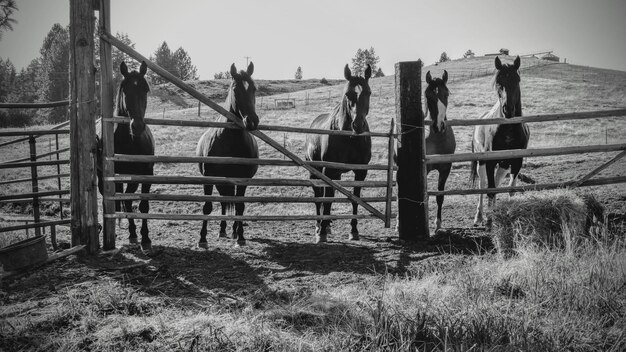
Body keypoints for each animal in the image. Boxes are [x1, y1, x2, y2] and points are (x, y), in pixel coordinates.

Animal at [95, 62, 154, 252]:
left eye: (146, 89)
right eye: (125, 90)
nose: (137, 126)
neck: (130, 141)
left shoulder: (146, 173)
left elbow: (143, 206)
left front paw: (145, 239)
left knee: (127, 201)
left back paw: (134, 235)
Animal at [195, 62, 258, 246]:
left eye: (254, 88)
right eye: (235, 88)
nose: (252, 121)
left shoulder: (243, 179)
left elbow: (240, 207)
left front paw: (241, 237)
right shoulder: (209, 177)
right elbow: (207, 207)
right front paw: (202, 238)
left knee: (233, 203)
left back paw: (234, 232)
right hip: (222, 181)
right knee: (224, 201)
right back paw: (223, 231)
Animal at [304, 64, 370, 242]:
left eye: (368, 93)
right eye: (348, 94)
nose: (358, 125)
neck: (349, 138)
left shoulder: (361, 172)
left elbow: (355, 199)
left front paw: (354, 231)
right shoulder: (329, 170)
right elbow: (326, 200)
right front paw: (322, 233)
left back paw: (327, 224)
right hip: (316, 171)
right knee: (318, 197)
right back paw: (319, 226)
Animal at [470, 56, 528, 227]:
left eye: (517, 79)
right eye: (498, 82)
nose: (508, 110)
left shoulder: (516, 162)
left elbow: (510, 189)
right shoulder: (490, 161)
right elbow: (489, 189)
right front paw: (489, 220)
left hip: (503, 164)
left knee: (495, 181)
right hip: (482, 162)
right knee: (483, 184)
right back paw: (479, 216)